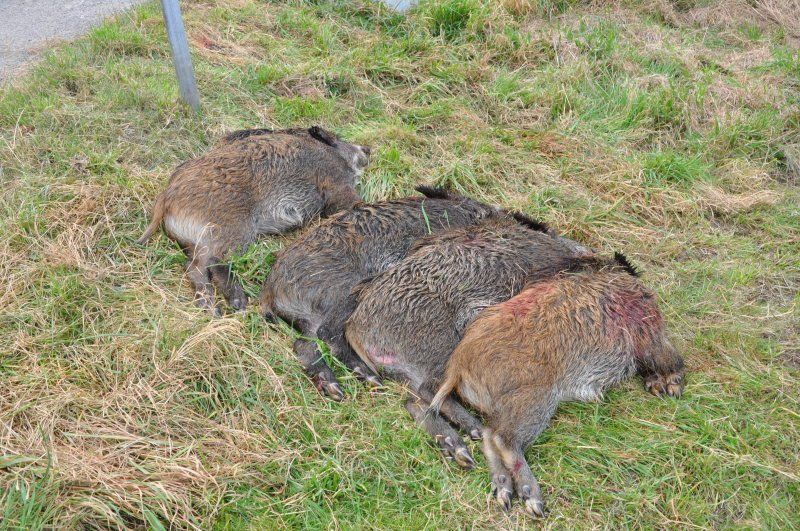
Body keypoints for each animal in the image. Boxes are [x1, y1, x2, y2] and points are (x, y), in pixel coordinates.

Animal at [137, 126, 370, 314]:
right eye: (338, 138)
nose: (367, 148)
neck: (329, 153)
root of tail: (167, 195)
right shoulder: (334, 183)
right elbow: (350, 201)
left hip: (198, 240)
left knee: (196, 266)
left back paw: (215, 310)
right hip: (233, 229)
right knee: (208, 263)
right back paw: (236, 304)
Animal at [260, 186, 501, 404]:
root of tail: (270, 290)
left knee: (305, 344)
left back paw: (336, 389)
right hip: (344, 293)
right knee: (326, 334)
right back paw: (367, 380)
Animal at [344, 216, 589, 469]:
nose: (588, 254)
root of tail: (355, 325)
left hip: (414, 369)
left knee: (414, 402)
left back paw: (461, 451)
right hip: (441, 345)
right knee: (429, 391)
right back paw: (475, 433)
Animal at [429, 254, 685, 517]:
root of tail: (458, 365)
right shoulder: (648, 331)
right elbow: (671, 358)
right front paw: (672, 388)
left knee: (489, 437)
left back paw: (505, 495)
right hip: (536, 399)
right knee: (502, 438)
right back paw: (535, 502)